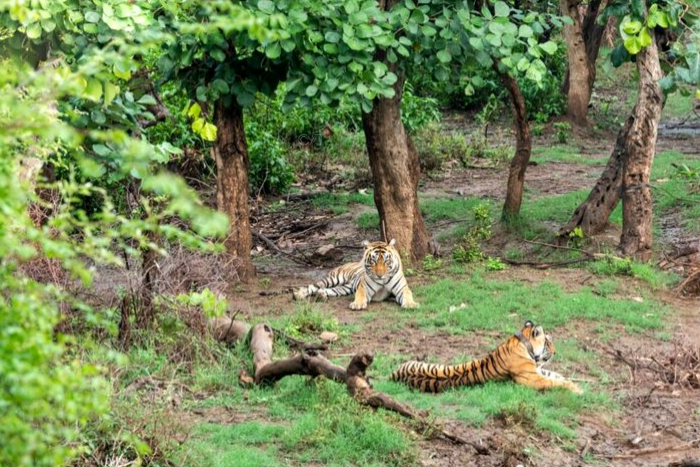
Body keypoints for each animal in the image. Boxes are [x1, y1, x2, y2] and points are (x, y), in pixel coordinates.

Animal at [392, 322, 584, 394]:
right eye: (548, 342)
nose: (556, 352)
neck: (522, 343)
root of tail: (394, 375)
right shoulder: (532, 379)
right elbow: (555, 382)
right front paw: (578, 390)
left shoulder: (538, 370)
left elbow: (558, 376)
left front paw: (576, 384)